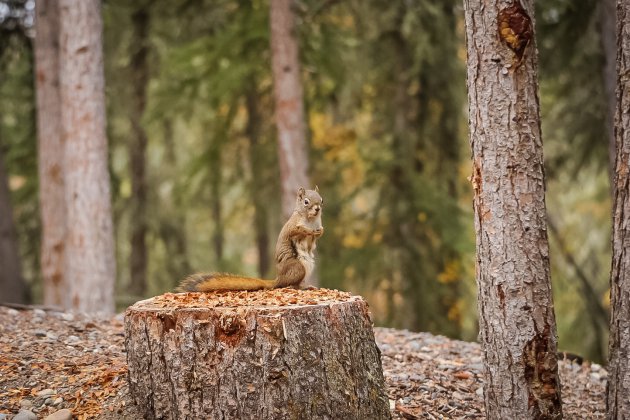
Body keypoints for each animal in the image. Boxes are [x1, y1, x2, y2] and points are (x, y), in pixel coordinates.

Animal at [179, 187, 324, 292]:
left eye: (321, 200)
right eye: (306, 201)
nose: (318, 208)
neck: (311, 219)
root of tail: (279, 278)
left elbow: (317, 235)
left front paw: (320, 231)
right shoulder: (293, 225)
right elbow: (297, 230)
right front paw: (308, 231)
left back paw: (307, 286)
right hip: (297, 268)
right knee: (287, 285)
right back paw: (298, 287)